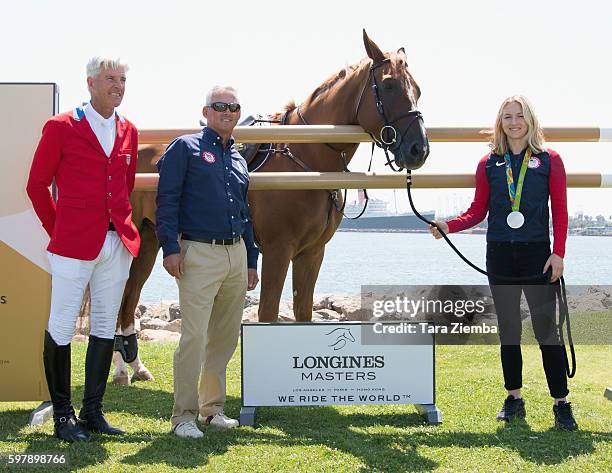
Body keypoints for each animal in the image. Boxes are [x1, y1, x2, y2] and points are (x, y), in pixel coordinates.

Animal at [105, 31, 428, 380]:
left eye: (417, 89)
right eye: (389, 85)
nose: (418, 149)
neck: (307, 159)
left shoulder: (312, 253)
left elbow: (303, 311)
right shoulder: (277, 250)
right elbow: (269, 311)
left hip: (150, 240)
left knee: (129, 297)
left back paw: (135, 367)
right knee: (120, 298)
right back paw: (121, 369)